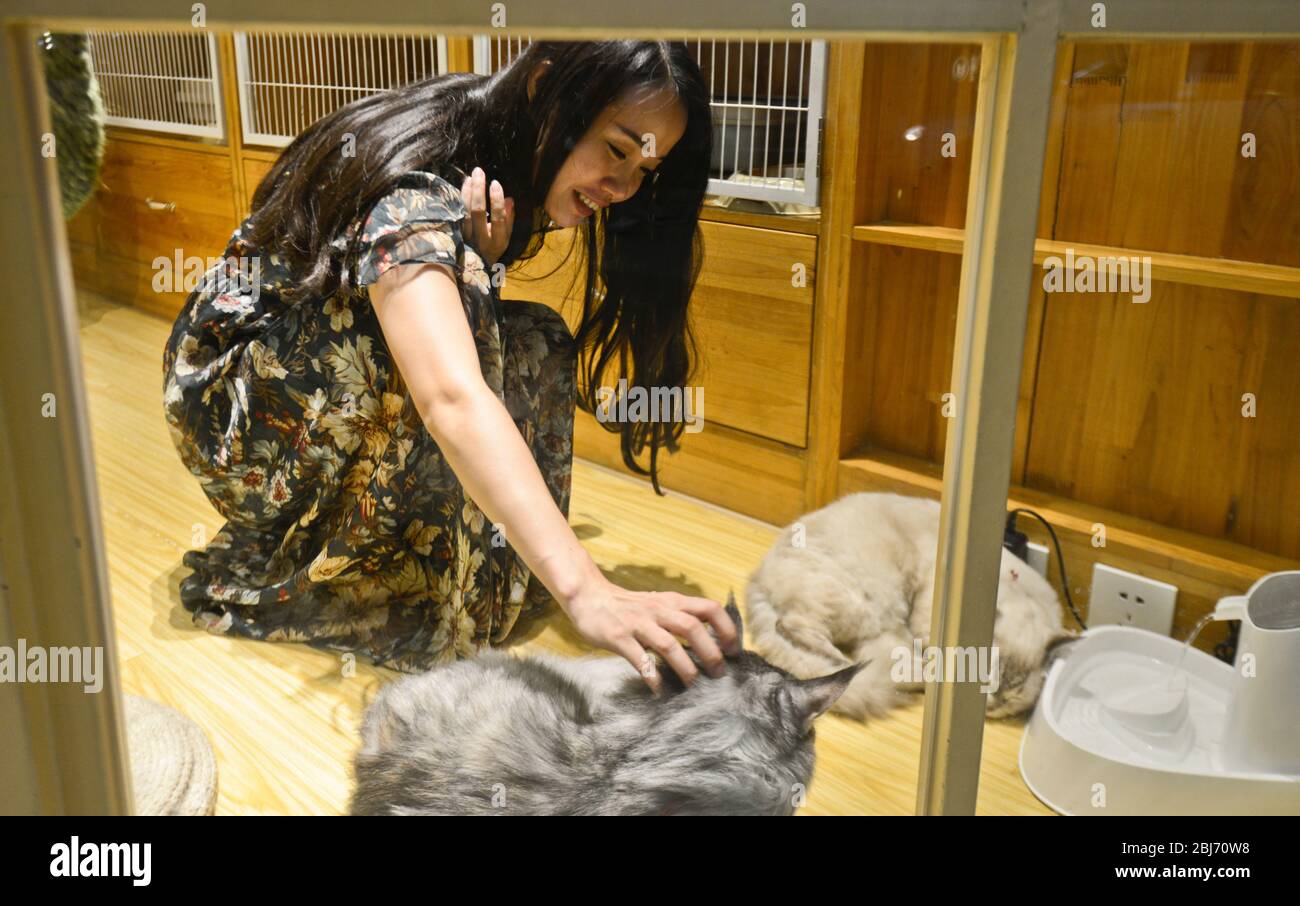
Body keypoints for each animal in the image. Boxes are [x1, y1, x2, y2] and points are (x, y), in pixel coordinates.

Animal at [743, 491, 1076, 717]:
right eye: (990, 673)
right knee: (794, 626)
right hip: (865, 601)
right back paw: (846, 664)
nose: (994, 698)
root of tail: (757, 578)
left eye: (1013, 693)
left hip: (875, 621)